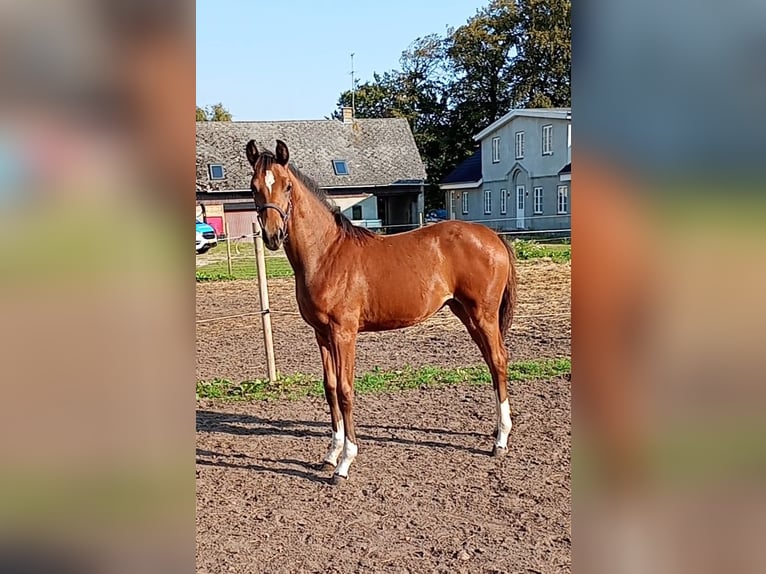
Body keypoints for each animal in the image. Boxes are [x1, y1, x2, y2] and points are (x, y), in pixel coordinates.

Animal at [249, 141, 520, 486]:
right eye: (254, 187)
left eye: (286, 186)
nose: (272, 235)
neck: (326, 255)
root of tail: (493, 236)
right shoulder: (321, 334)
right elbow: (330, 388)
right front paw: (330, 454)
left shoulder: (344, 333)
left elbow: (346, 391)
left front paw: (344, 464)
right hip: (467, 314)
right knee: (492, 362)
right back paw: (496, 430)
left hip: (483, 315)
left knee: (498, 360)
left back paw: (501, 441)